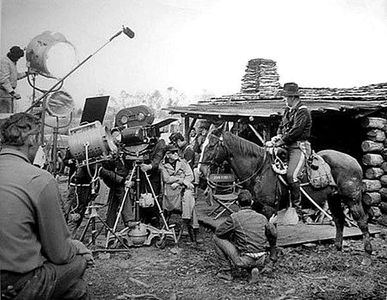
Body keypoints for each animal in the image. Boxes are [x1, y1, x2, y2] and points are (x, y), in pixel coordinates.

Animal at [200, 126, 372, 264]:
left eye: (212, 145)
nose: (201, 170)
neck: (260, 169)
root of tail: (355, 162)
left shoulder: (269, 208)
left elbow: (271, 233)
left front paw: (273, 257)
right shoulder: (257, 207)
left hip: (352, 198)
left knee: (362, 221)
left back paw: (367, 255)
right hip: (334, 198)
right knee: (339, 219)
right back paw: (338, 247)